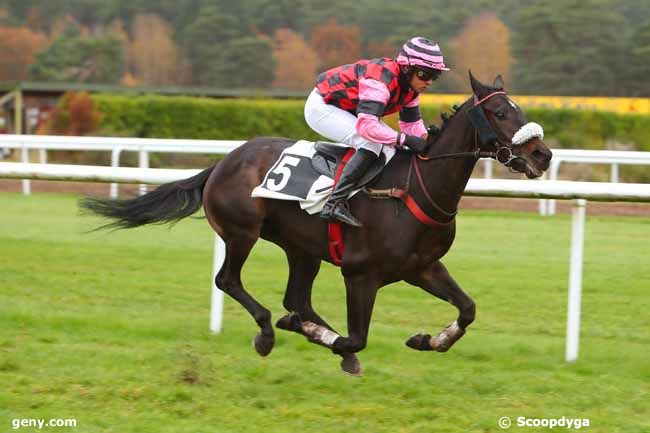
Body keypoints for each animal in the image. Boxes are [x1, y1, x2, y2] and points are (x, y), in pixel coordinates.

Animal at [78, 71, 548, 374]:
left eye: (519, 109)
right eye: (501, 112)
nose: (543, 155)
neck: (414, 188)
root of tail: (222, 162)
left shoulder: (422, 267)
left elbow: (467, 309)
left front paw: (429, 340)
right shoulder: (360, 274)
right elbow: (357, 337)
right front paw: (330, 342)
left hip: (302, 248)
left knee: (297, 298)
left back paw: (303, 327)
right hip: (242, 232)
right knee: (230, 281)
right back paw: (270, 332)